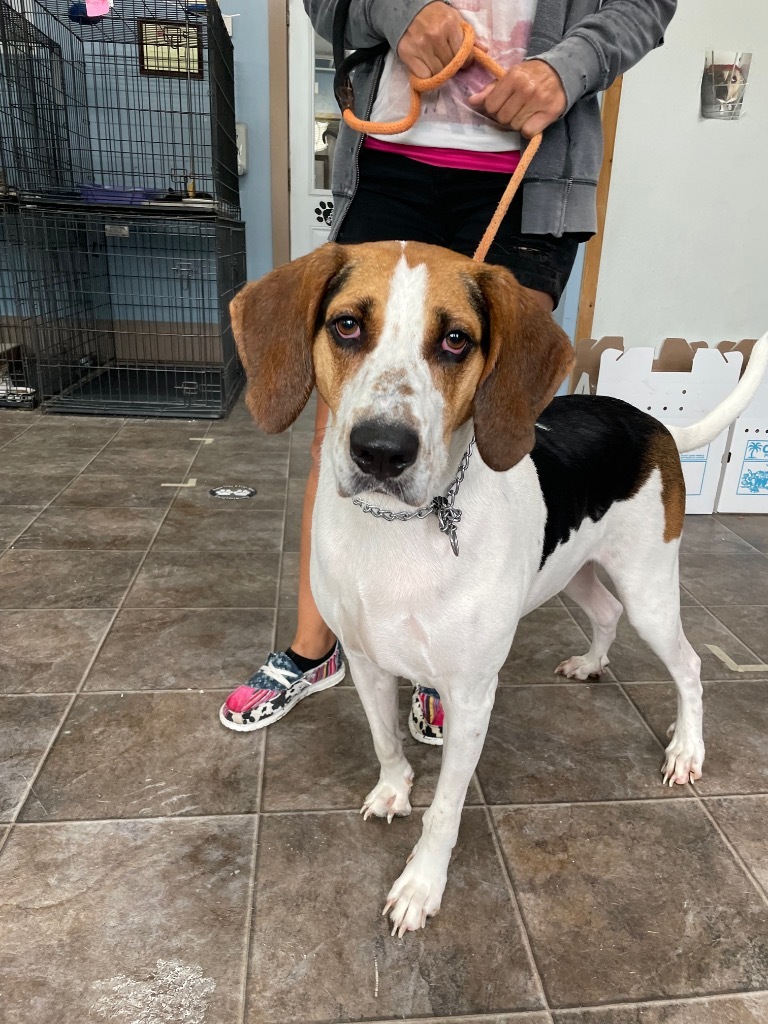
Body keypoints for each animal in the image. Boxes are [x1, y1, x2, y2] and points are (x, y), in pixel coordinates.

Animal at [230, 237, 768, 937]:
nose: (381, 450)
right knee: (605, 614)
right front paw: (394, 790)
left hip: (650, 590)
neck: (397, 531)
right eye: (346, 325)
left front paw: (421, 886)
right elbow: (385, 742)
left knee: (691, 665)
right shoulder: (369, 666)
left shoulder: (471, 696)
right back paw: (592, 664)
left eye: (456, 340)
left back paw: (686, 750)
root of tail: (655, 425)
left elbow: (444, 810)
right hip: (574, 573)